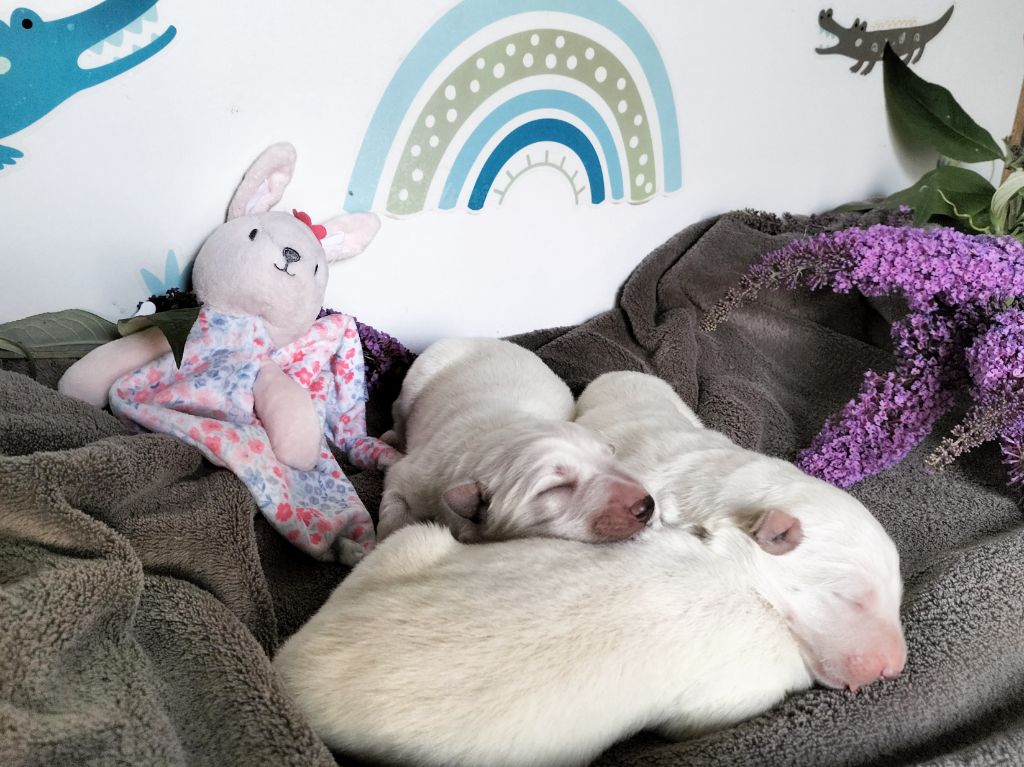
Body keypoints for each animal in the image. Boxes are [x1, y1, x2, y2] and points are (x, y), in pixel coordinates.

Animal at [378, 337, 655, 540]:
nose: (647, 505)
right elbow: (394, 503)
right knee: (399, 413)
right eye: (555, 488)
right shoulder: (417, 475)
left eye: (611, 456)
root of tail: (487, 337)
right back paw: (391, 438)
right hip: (416, 382)